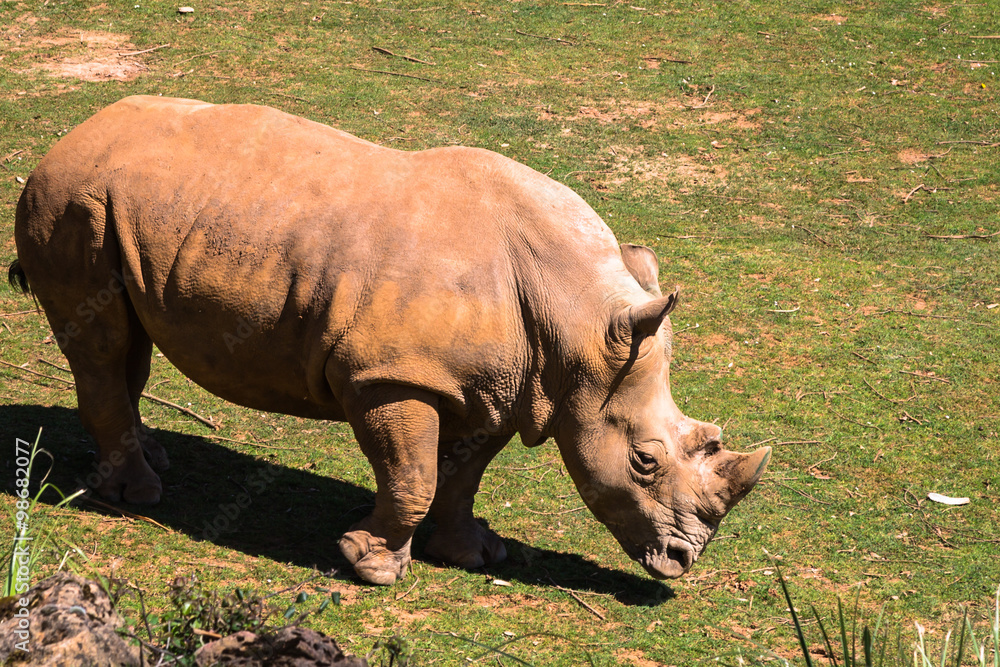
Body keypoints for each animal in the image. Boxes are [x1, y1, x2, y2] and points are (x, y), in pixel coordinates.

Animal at [9, 96, 770, 585]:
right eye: (644, 461)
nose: (683, 562)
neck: (577, 325)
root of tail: (67, 137)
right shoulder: (388, 374)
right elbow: (413, 475)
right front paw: (370, 565)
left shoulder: (508, 386)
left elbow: (462, 474)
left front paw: (475, 555)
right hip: (73, 200)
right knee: (104, 346)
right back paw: (137, 495)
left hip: (122, 211)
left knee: (127, 344)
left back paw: (152, 458)